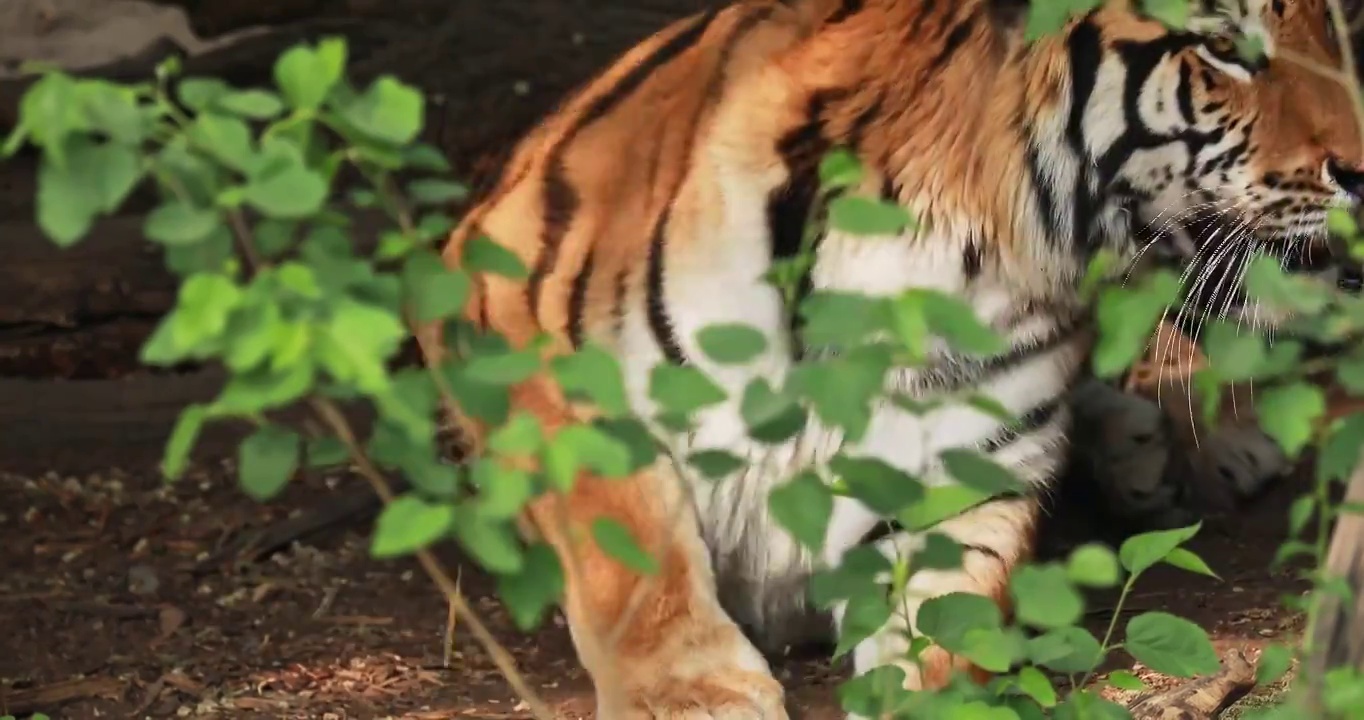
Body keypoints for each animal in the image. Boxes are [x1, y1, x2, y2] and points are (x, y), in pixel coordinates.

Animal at [414, 0, 1364, 714]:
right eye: (1222, 46)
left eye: (1333, 24)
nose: (1362, 170)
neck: (949, 251)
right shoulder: (503, 305)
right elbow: (629, 535)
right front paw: (690, 693)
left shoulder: (960, 479)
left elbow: (950, 636)